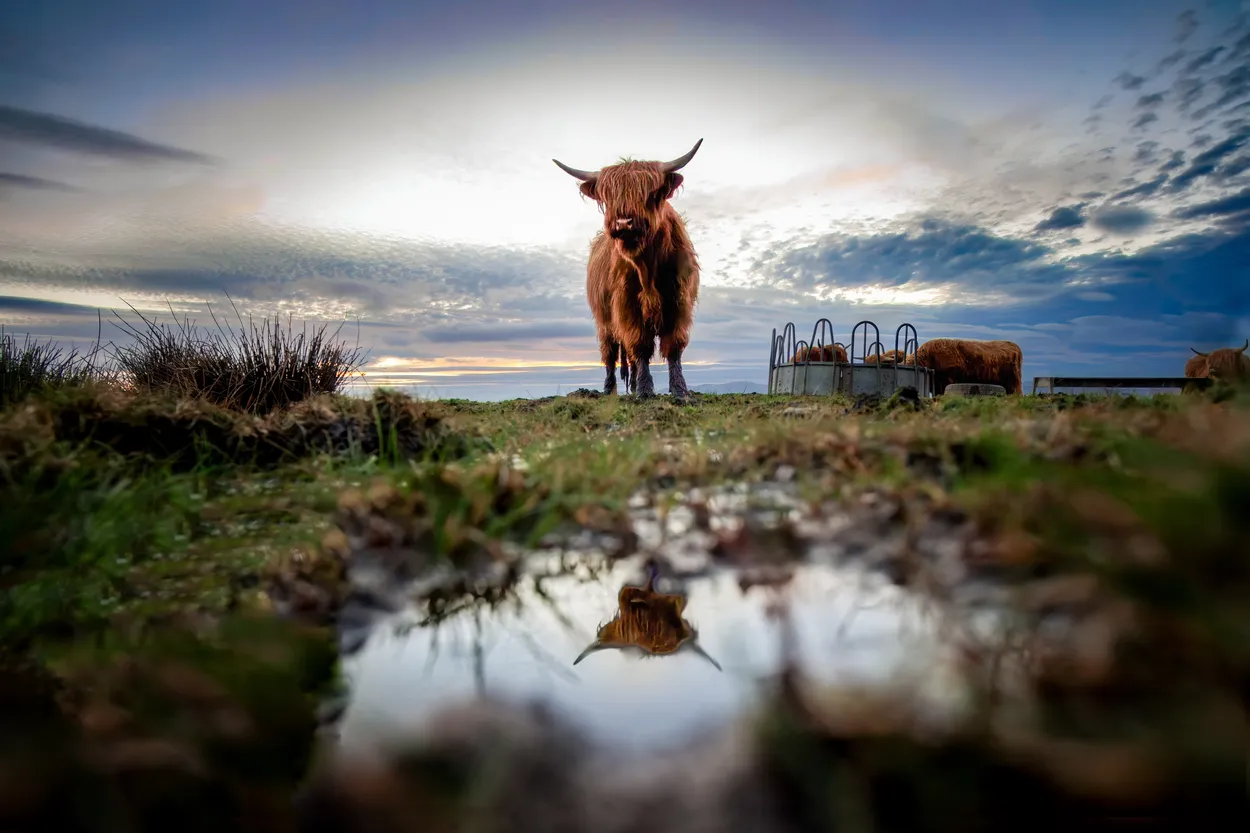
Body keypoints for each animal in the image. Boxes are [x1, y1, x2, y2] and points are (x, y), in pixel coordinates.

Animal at [554, 140, 703, 401]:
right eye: (608, 197)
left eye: (651, 193)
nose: (624, 223)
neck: (648, 267)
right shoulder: (627, 305)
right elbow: (640, 345)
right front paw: (644, 390)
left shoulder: (679, 302)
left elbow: (673, 347)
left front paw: (680, 390)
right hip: (604, 321)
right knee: (610, 353)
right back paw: (609, 390)